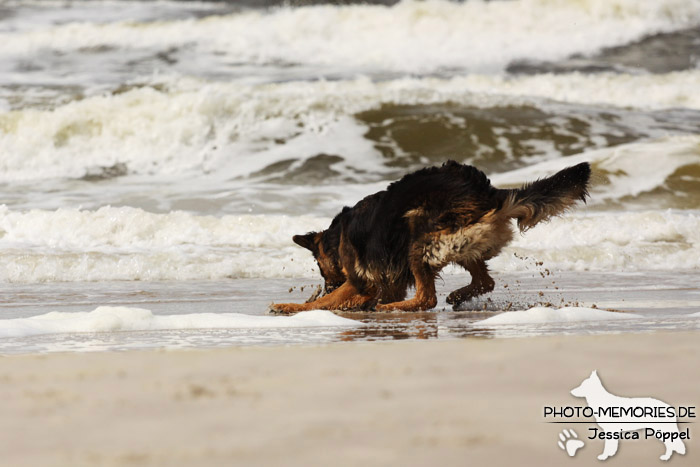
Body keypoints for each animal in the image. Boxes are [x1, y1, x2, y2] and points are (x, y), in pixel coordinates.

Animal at [268, 159, 592, 316]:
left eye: (321, 270)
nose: (327, 284)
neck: (336, 238)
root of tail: (490, 194)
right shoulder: (387, 282)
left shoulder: (363, 280)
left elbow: (328, 301)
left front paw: (292, 307)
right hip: (460, 242)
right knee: (484, 281)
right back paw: (458, 296)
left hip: (419, 234)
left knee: (427, 298)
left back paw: (391, 309)